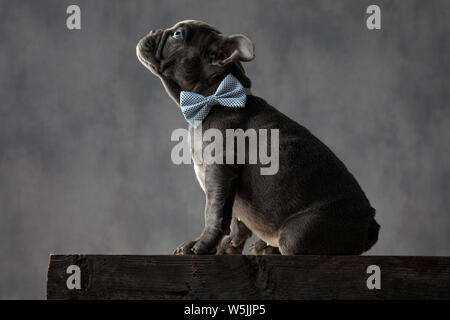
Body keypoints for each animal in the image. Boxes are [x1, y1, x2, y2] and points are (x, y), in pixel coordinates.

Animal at [137, 19, 380, 255]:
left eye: (177, 35)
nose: (152, 30)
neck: (212, 100)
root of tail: (370, 223)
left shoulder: (220, 172)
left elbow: (214, 213)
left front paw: (202, 245)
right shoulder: (230, 188)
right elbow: (236, 219)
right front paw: (229, 246)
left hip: (298, 234)